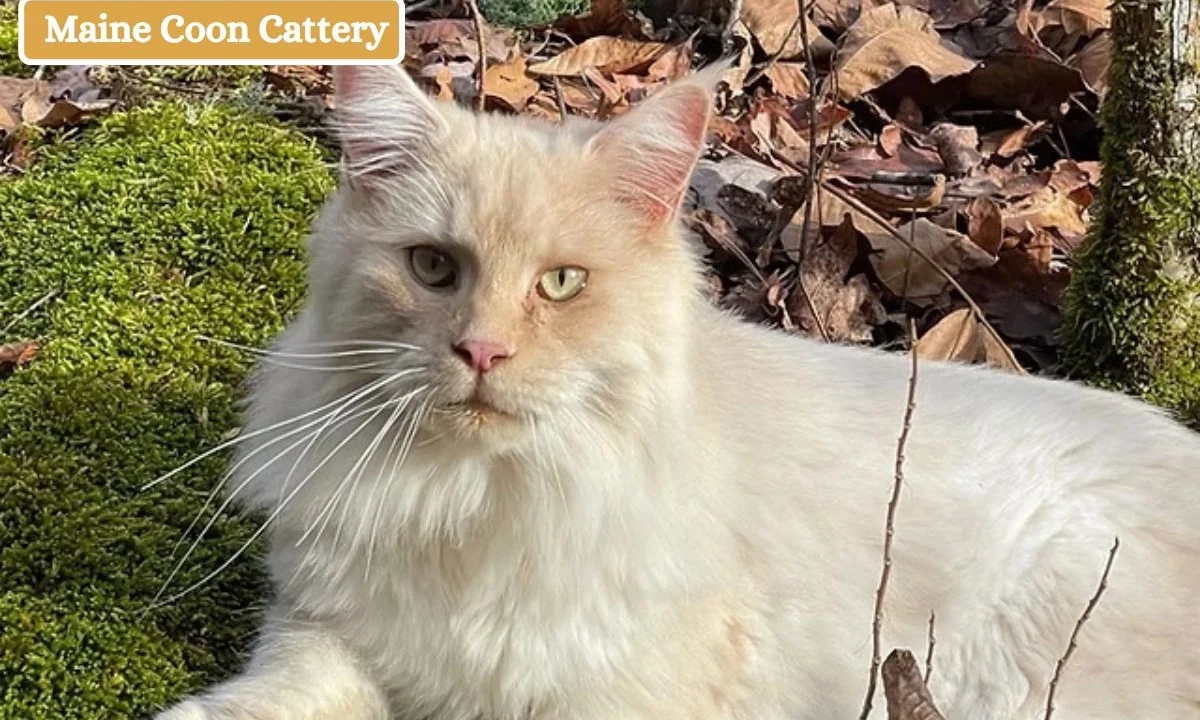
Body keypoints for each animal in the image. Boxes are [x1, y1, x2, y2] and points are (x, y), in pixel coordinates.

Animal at [154, 63, 1200, 720]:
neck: (477, 498)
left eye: (561, 284)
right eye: (433, 268)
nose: (482, 352)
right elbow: (280, 691)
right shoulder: (331, 629)